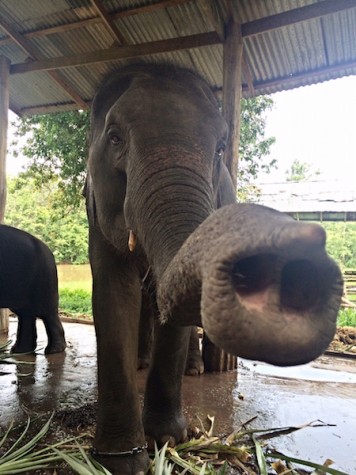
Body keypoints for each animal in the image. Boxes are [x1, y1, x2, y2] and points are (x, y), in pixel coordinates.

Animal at [0, 225, 66, 356]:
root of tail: (48, 250)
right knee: (26, 313)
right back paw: (19, 350)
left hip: (44, 278)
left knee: (47, 312)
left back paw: (53, 351)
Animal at [85, 64, 342, 475]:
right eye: (114, 138)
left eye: (221, 148)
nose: (311, 237)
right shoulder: (97, 212)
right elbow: (113, 295)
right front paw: (121, 461)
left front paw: (167, 440)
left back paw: (192, 371)